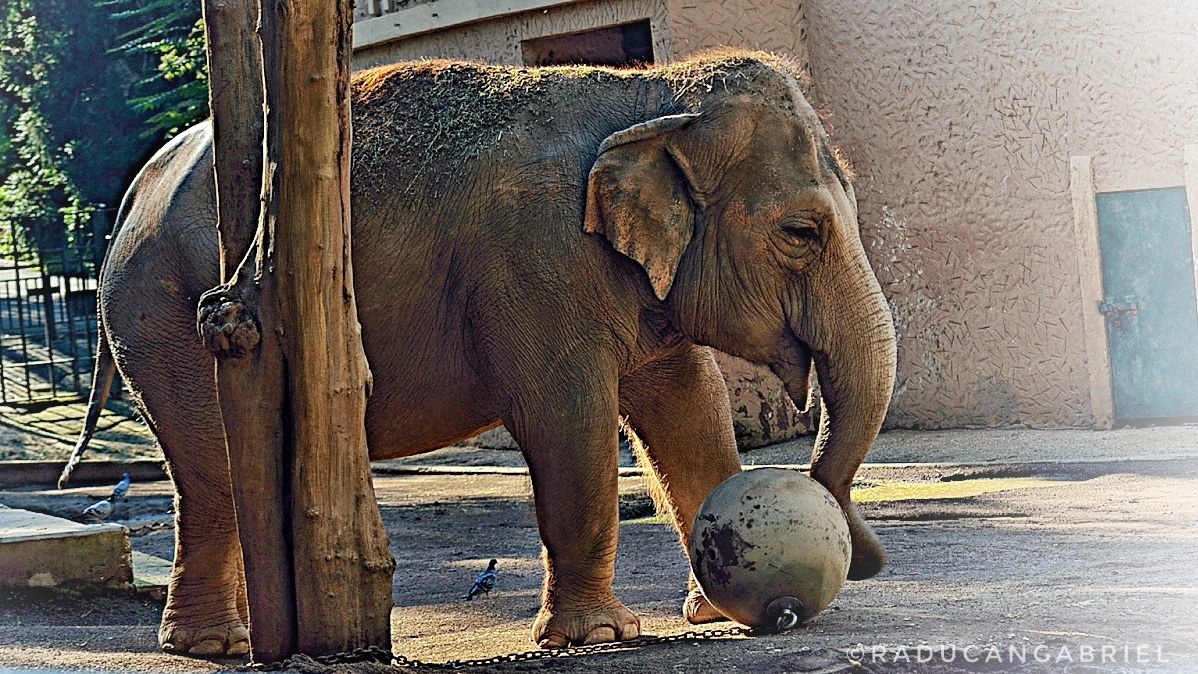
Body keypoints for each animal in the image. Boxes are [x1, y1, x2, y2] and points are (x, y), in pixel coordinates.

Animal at [72, 49, 897, 656]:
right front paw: (601, 636)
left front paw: (713, 613)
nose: (861, 558)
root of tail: (131, 196)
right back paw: (212, 646)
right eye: (801, 232)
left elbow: (691, 413)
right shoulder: (534, 264)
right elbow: (568, 424)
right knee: (209, 472)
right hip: (164, 315)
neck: (649, 94)